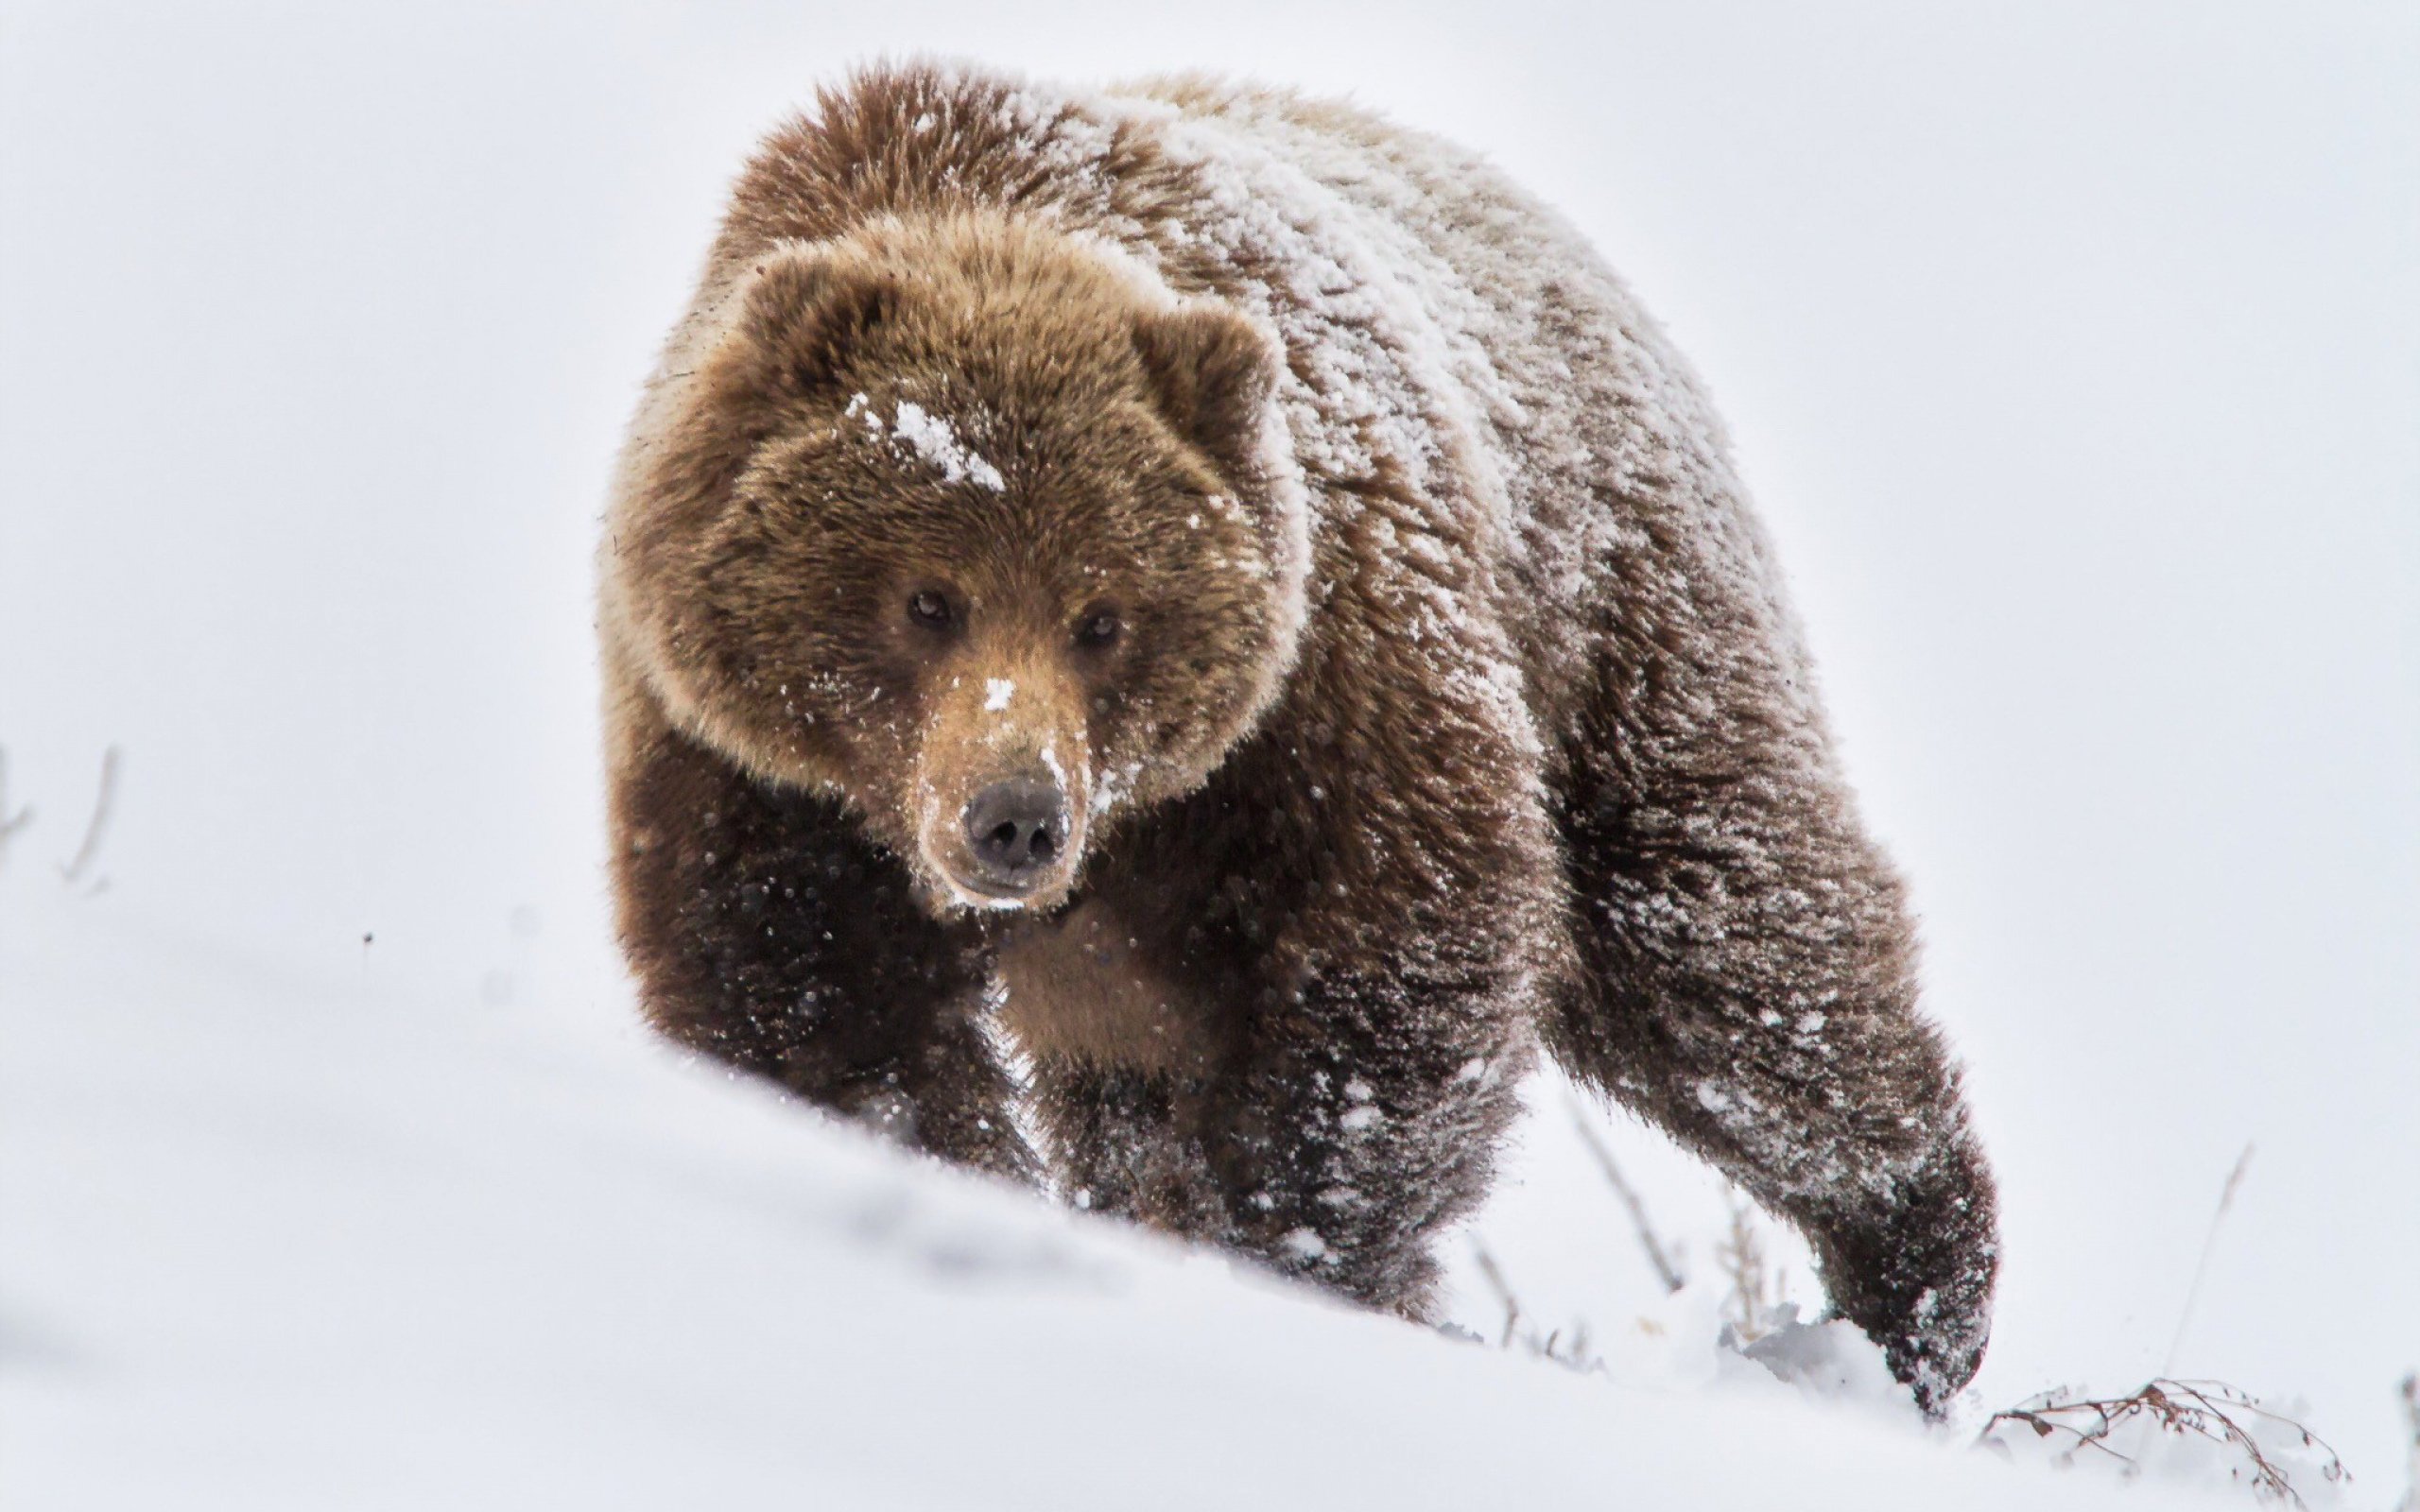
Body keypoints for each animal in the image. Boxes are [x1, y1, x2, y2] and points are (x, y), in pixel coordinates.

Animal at [595, 56, 1994, 1402]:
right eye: (926, 598)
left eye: (1104, 616)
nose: (1015, 818)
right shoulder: (750, 769)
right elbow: (820, 1016)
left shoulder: (1330, 670)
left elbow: (1395, 958)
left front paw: (1292, 1256)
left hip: (1619, 620)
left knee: (1730, 953)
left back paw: (1919, 1287)